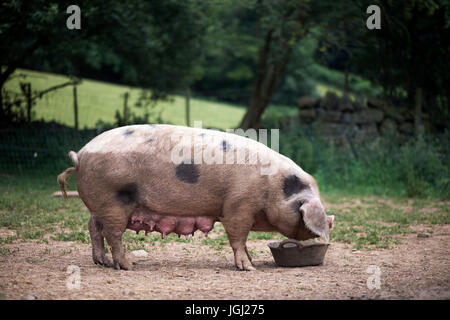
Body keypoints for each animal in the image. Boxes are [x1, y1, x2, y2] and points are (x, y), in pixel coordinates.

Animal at [57, 124, 334, 270]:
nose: (331, 220)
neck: (274, 186)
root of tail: (80, 155)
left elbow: (243, 241)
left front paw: (252, 261)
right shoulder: (237, 206)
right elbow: (238, 237)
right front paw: (249, 267)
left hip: (100, 204)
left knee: (93, 227)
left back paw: (101, 262)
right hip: (114, 200)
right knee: (112, 233)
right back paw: (128, 265)